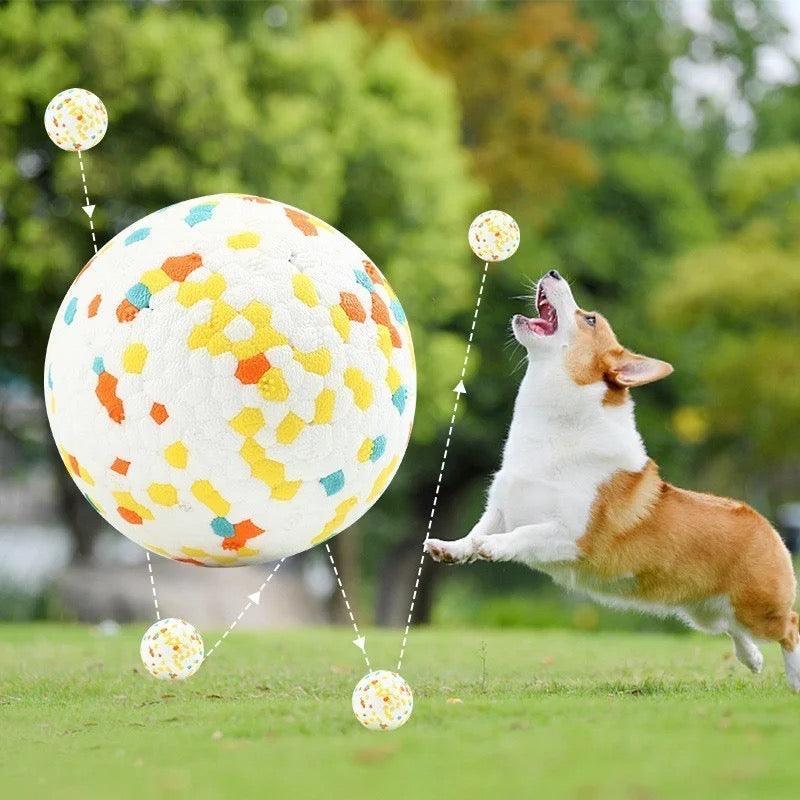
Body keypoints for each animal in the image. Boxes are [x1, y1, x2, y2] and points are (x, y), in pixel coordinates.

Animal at [424, 270, 800, 692]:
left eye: (590, 319)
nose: (554, 273)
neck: (553, 435)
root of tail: (767, 524)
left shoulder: (572, 535)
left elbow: (520, 535)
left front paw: (494, 547)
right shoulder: (502, 508)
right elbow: (476, 531)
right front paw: (451, 549)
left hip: (758, 606)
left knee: (789, 627)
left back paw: (794, 678)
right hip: (705, 611)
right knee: (735, 630)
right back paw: (752, 659)